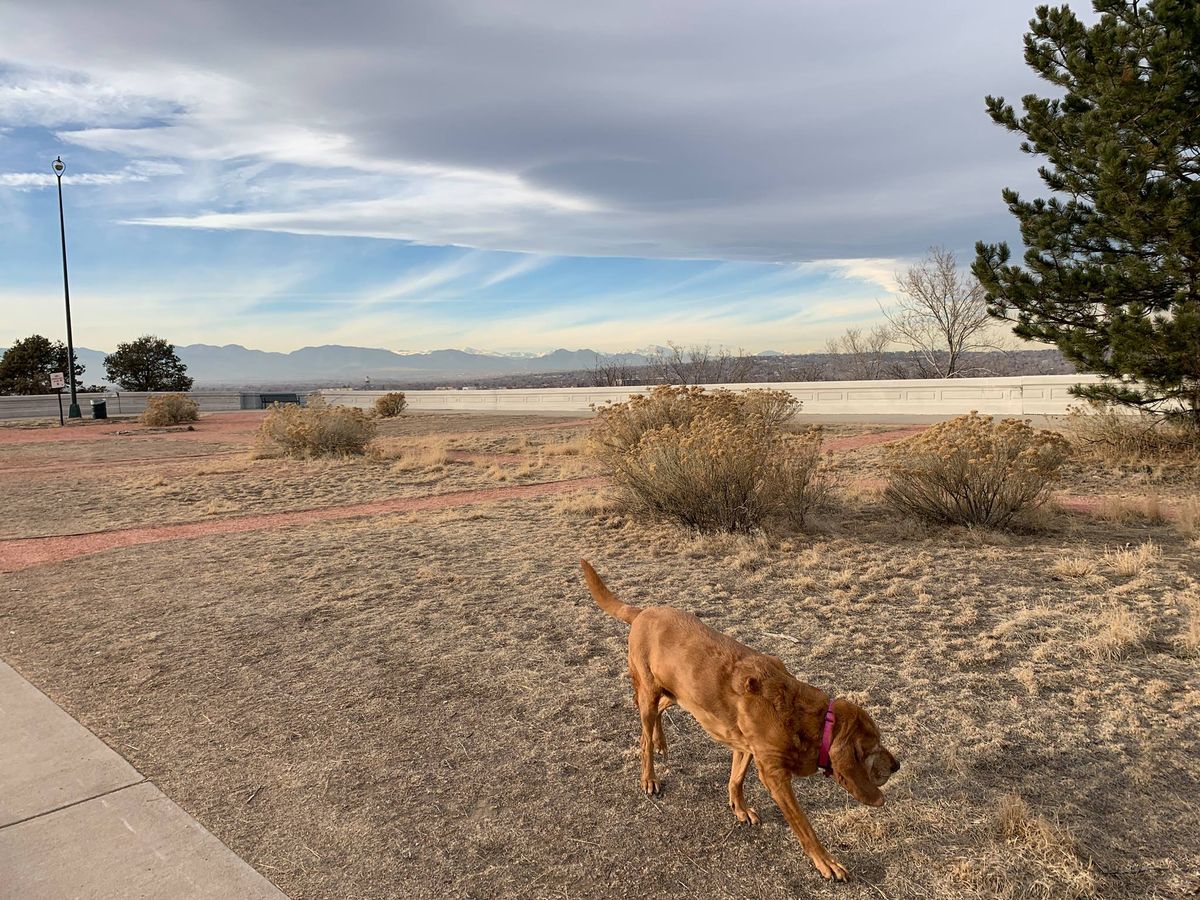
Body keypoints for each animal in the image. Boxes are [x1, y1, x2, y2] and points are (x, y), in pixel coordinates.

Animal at [580, 561, 902, 883]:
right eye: (874, 746)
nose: (897, 765)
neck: (808, 718)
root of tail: (643, 611)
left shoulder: (744, 747)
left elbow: (736, 780)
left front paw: (739, 808)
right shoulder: (775, 776)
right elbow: (804, 826)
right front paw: (826, 861)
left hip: (679, 694)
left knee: (660, 711)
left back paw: (661, 742)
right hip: (648, 691)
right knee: (644, 736)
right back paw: (649, 776)